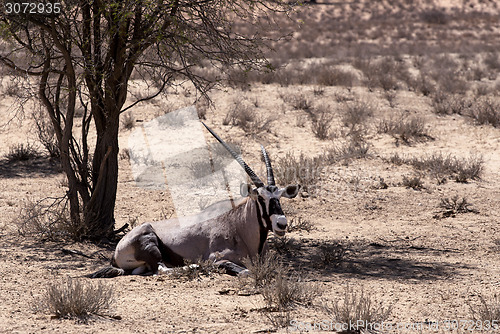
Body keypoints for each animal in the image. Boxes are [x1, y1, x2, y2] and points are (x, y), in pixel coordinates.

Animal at [89, 122, 300, 276]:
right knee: (161, 269)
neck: (239, 224)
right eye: (260, 198)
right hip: (151, 243)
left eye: (279, 197)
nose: (281, 223)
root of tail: (117, 250)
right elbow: (245, 271)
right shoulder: (218, 258)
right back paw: (195, 266)